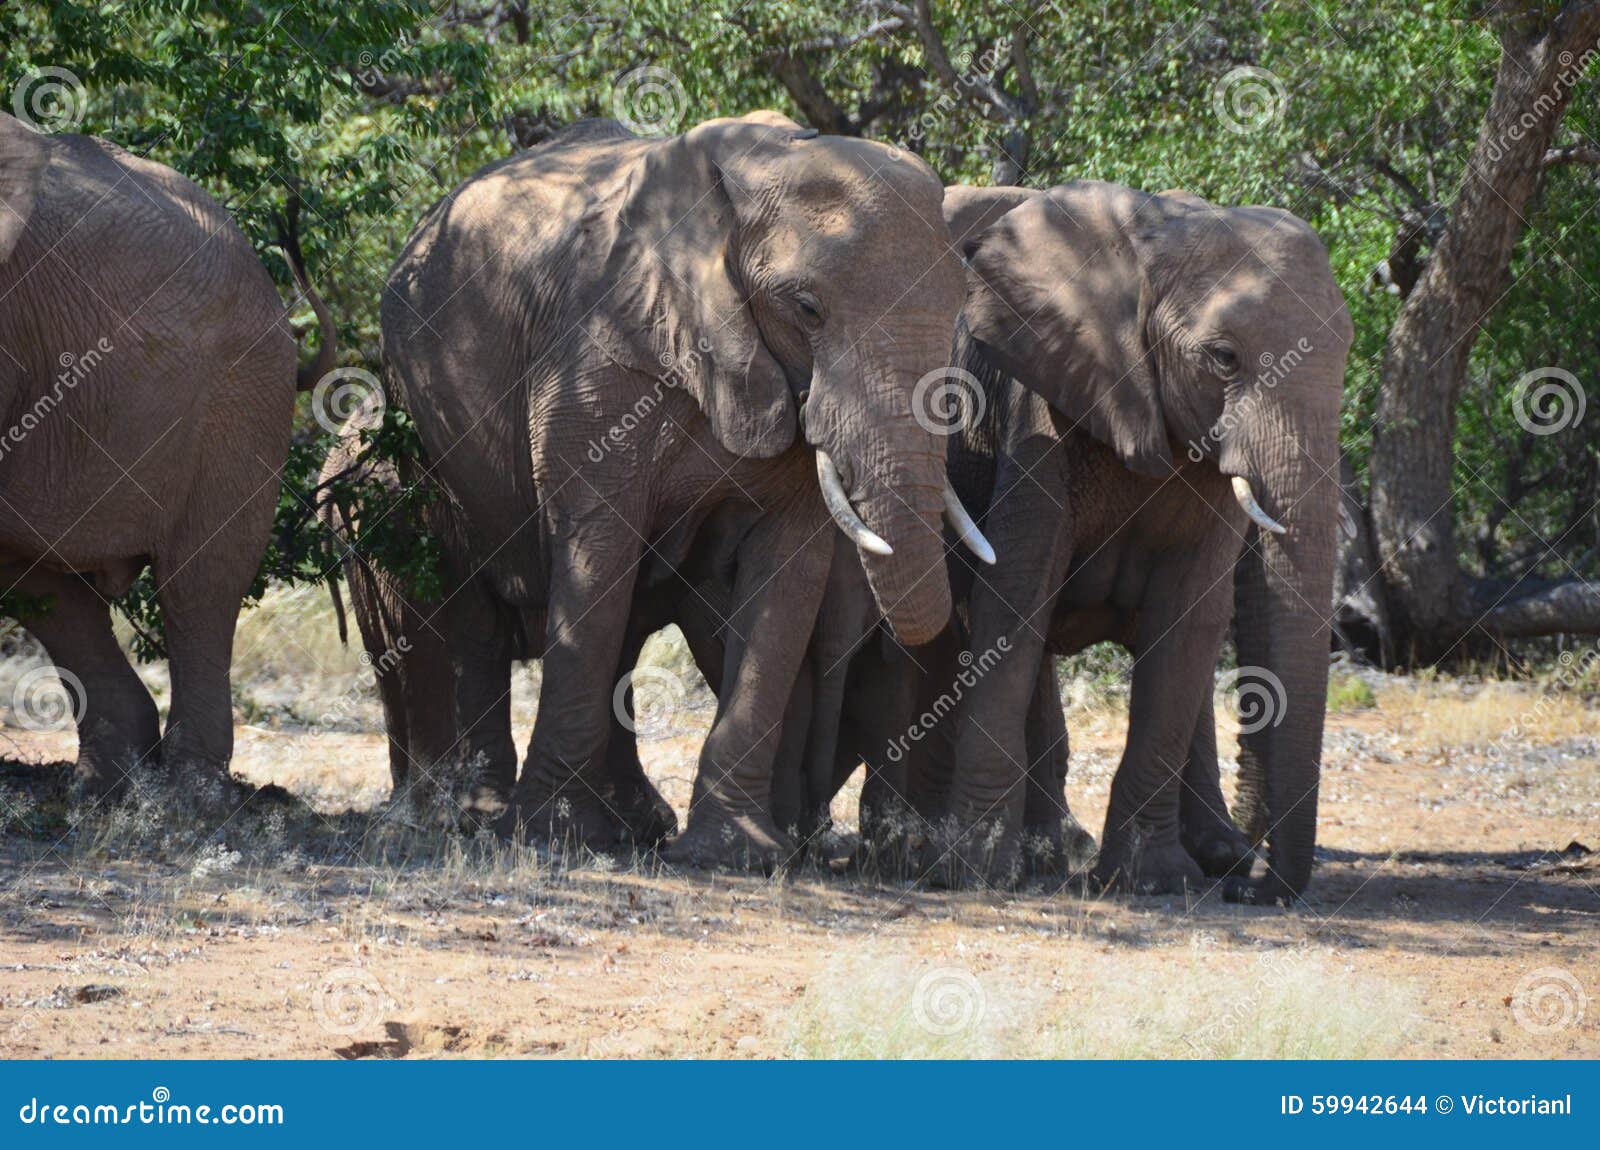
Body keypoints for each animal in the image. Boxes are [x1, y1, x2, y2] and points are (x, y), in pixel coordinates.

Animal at [377, 114, 985, 870]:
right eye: (807, 307)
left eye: (961, 303)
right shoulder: (597, 358)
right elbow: (597, 546)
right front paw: (551, 838)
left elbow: (786, 578)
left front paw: (736, 854)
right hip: (423, 420)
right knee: (477, 601)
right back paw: (486, 815)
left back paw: (636, 824)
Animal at [921, 179, 1356, 902]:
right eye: (1224, 358)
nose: (1255, 891)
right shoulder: (1041, 408)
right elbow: (1014, 595)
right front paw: (972, 873)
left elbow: (1188, 622)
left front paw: (1153, 879)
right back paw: (1046, 859)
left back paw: (1205, 854)